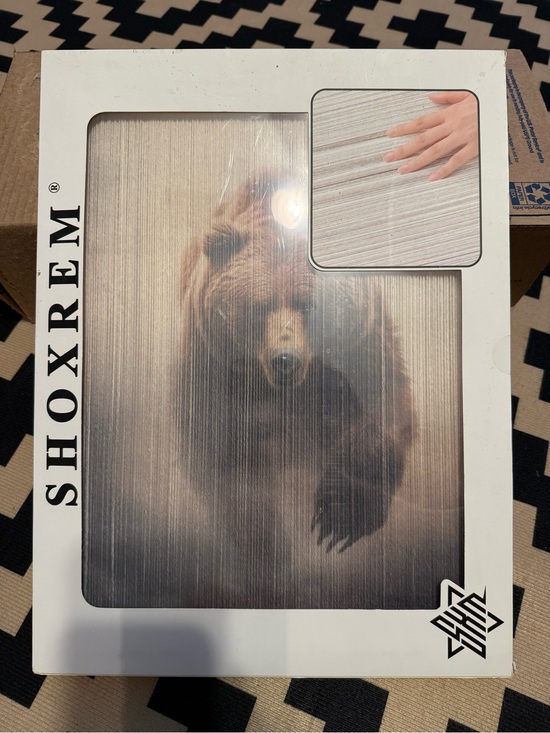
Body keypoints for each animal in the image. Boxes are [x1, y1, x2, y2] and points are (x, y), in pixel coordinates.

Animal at [178, 171, 414, 606]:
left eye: (307, 305)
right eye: (260, 307)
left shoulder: (363, 341)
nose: (284, 359)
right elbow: (225, 463)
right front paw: (269, 562)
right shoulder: (212, 361)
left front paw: (340, 517)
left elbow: (385, 408)